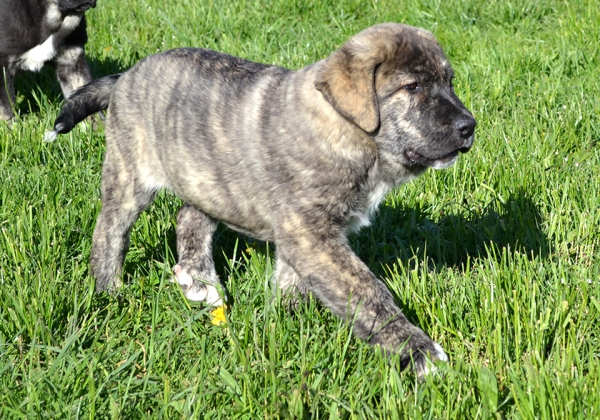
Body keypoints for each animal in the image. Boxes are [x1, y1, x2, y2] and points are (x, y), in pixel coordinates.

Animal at [47, 24, 476, 376]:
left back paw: (198, 281)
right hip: (130, 173)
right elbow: (369, 292)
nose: (469, 126)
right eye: (412, 87)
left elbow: (291, 280)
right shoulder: (312, 234)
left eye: (450, 82)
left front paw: (287, 321)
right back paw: (109, 290)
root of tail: (127, 75)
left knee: (189, 217)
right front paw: (419, 353)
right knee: (111, 230)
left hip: (206, 177)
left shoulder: (302, 235)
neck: (345, 128)